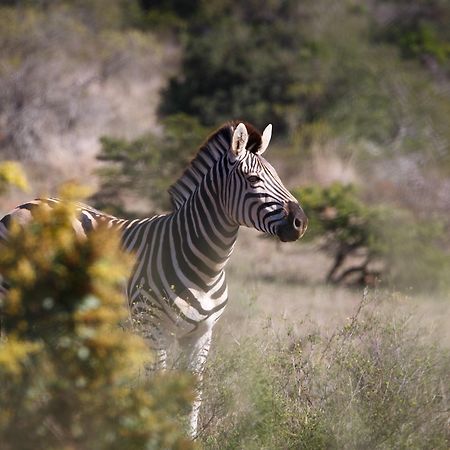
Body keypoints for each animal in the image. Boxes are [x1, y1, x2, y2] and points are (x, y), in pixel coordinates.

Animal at [0, 121, 306, 438]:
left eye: (278, 176)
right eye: (253, 179)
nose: (301, 222)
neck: (205, 266)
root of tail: (25, 204)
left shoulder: (201, 334)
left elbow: (192, 392)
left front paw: (188, 438)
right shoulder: (152, 330)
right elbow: (156, 385)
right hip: (13, 300)